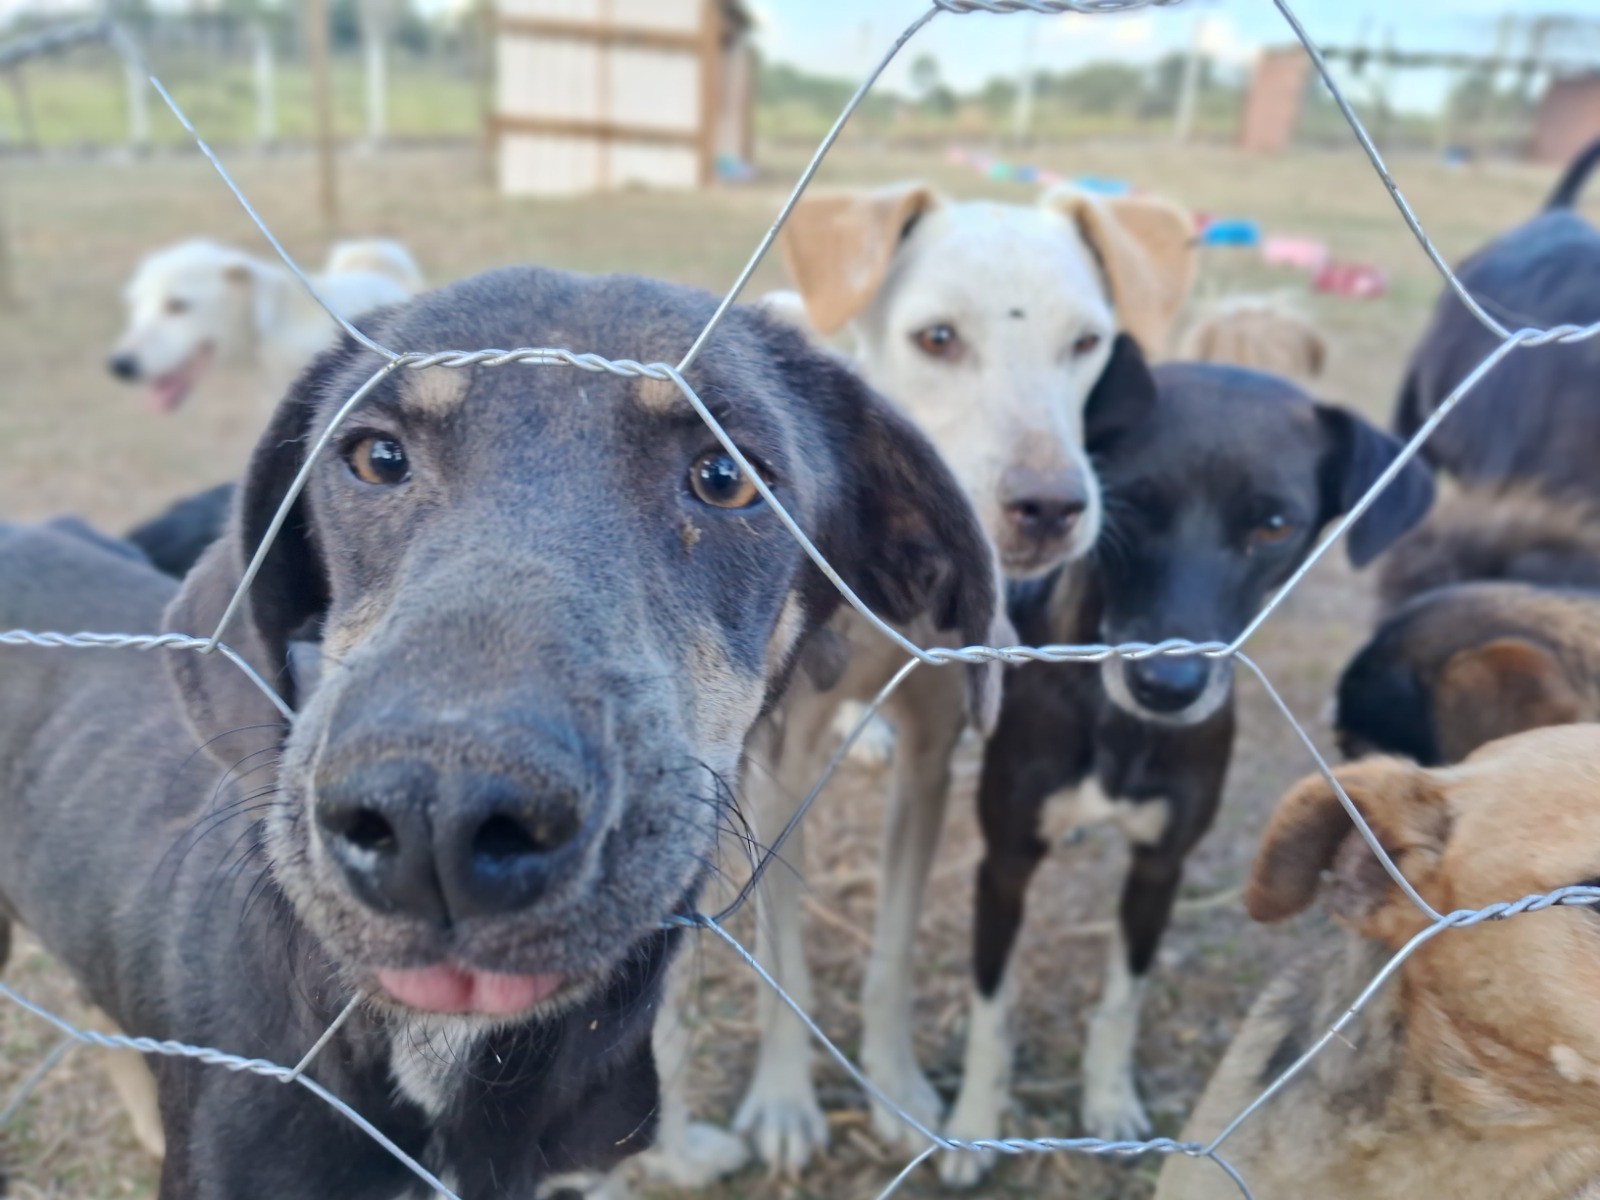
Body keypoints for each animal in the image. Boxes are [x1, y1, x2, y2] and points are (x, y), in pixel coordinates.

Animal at [640, 183, 1203, 1190]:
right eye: (937, 338)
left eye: (1087, 342)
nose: (1050, 507)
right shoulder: (780, 770)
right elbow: (785, 953)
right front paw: (784, 1102)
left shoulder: (936, 757)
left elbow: (895, 951)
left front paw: (896, 1087)